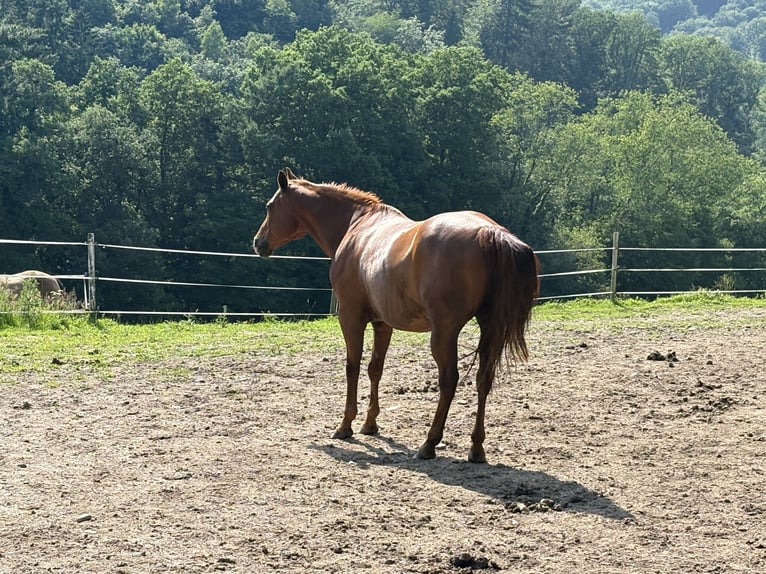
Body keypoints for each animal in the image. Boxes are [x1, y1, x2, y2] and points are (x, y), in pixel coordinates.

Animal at [253, 168, 539, 462]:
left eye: (269, 206)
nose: (258, 242)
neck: (357, 225)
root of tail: (489, 231)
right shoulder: (383, 323)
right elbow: (375, 368)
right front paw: (370, 424)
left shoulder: (350, 317)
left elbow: (352, 367)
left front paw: (345, 425)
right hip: (490, 327)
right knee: (484, 378)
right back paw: (476, 447)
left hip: (445, 332)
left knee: (449, 380)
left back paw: (429, 443)